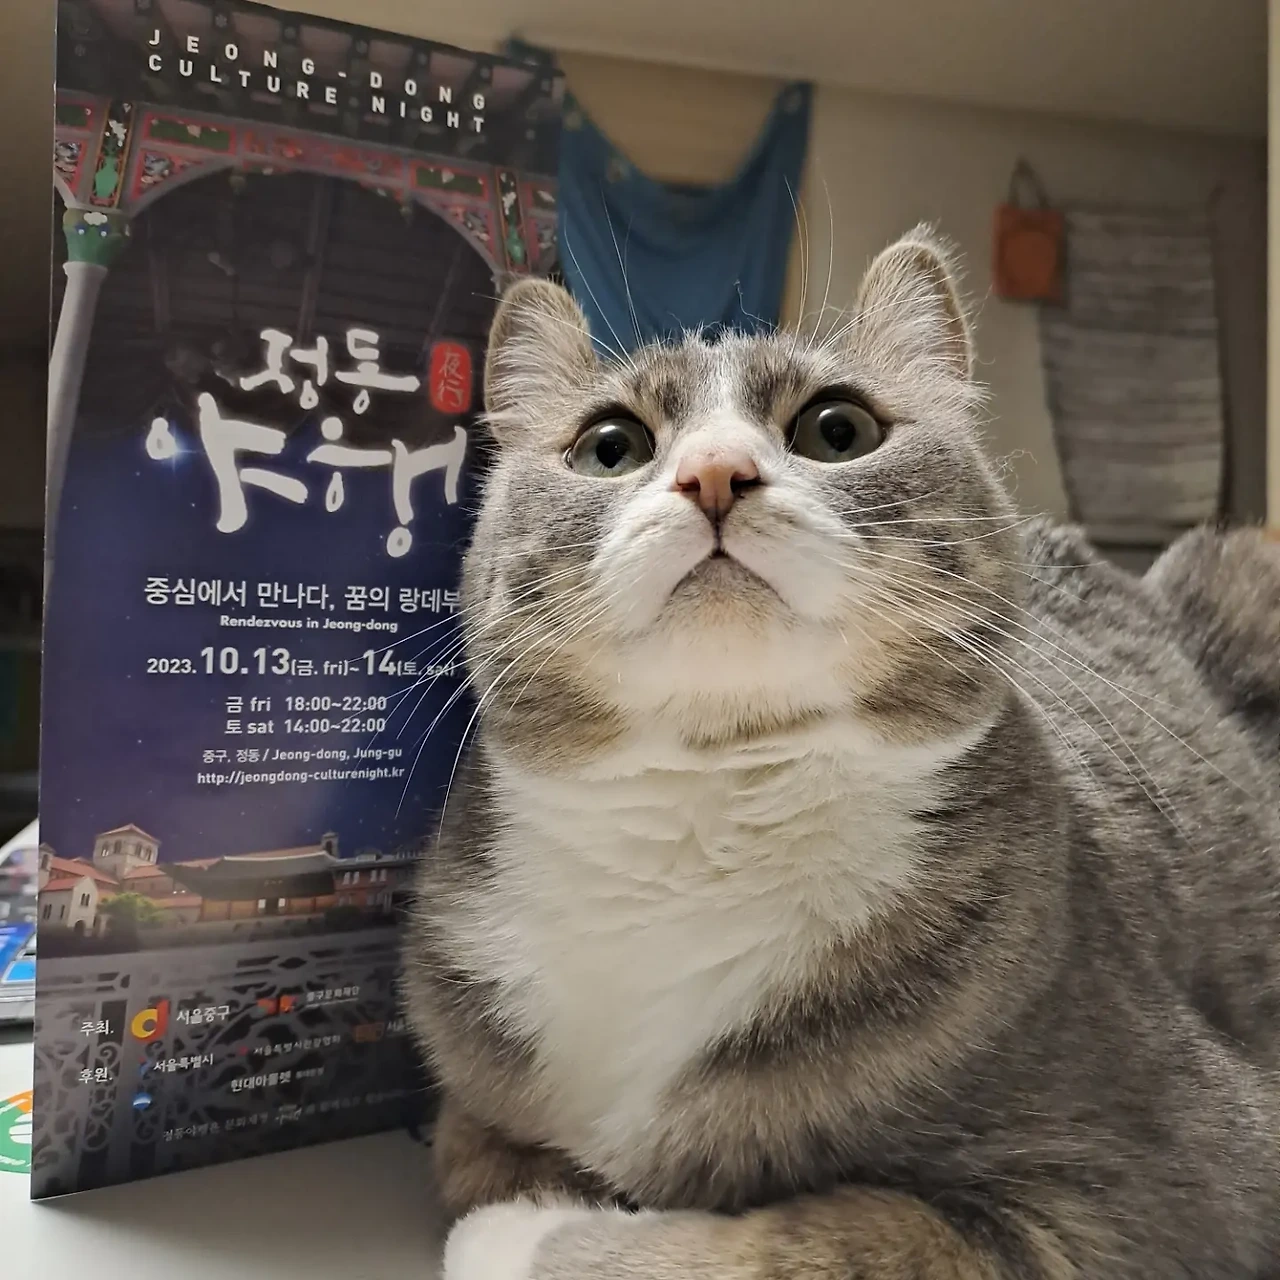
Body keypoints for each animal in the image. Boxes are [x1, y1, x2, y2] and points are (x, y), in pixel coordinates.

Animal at [403, 226, 1280, 1280]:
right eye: (609, 447)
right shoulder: (474, 1068)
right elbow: (467, 1151)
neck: (708, 812)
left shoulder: (1162, 1179)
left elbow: (818, 1234)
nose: (714, 472)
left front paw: (522, 1229)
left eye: (837, 429)